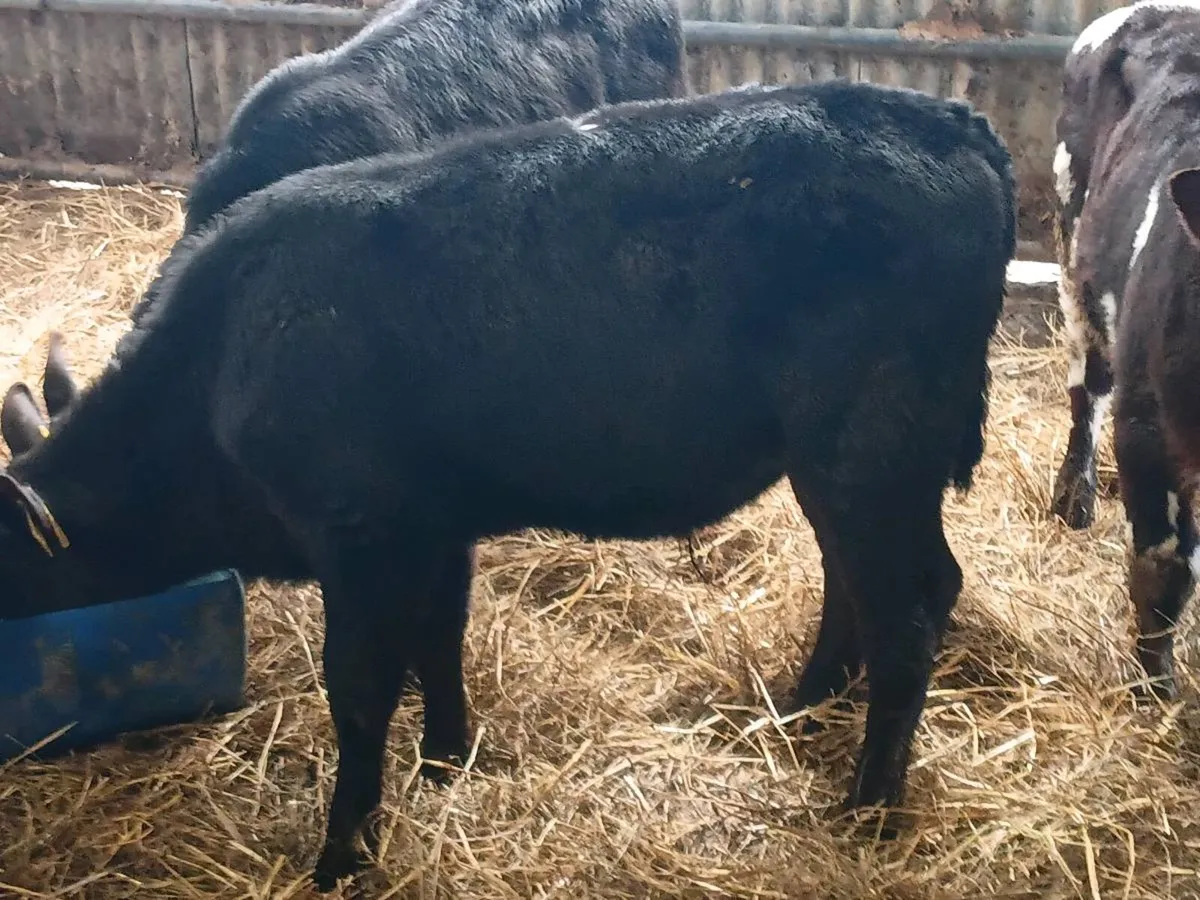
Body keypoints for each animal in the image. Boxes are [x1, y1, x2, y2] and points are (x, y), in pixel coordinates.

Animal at [0, 80, 1016, 890]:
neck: (220, 367)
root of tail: (948, 121)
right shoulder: (431, 523)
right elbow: (440, 639)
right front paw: (448, 759)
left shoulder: (363, 535)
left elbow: (360, 688)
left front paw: (342, 857)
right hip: (839, 460)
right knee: (861, 580)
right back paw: (804, 706)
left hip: (872, 446)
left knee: (910, 608)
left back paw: (869, 809)